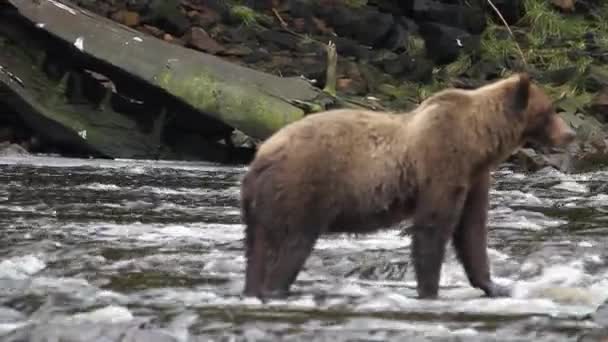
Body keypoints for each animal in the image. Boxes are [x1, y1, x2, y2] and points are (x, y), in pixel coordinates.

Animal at [239, 72, 576, 300]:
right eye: (549, 111)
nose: (570, 134)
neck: (479, 141)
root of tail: (260, 158)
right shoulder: (443, 161)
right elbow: (433, 226)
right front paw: (429, 290)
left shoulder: (474, 177)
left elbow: (472, 230)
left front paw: (494, 286)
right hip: (301, 188)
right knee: (292, 243)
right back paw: (276, 288)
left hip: (260, 208)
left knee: (257, 251)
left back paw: (255, 289)